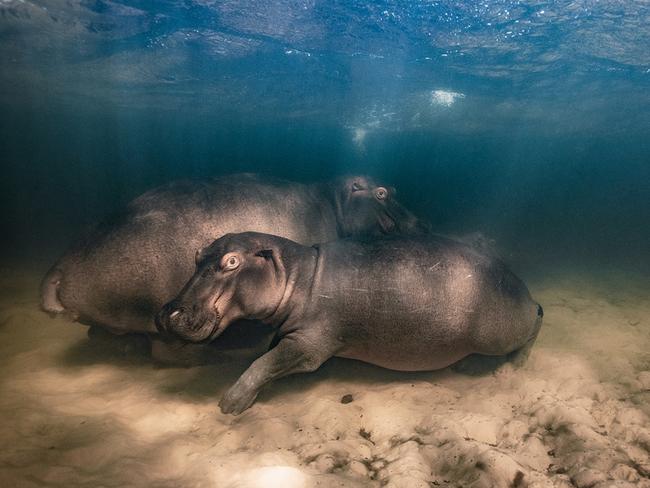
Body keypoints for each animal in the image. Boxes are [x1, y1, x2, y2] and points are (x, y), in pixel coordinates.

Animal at [41, 173, 426, 352]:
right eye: (383, 192)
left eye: (393, 189)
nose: (424, 225)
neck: (334, 203)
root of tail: (59, 268)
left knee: (102, 333)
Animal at [157, 231, 540, 414]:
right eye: (197, 255)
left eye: (232, 261)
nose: (167, 313)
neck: (298, 275)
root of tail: (523, 288)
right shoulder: (288, 332)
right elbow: (266, 354)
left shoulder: (309, 345)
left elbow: (264, 363)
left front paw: (230, 404)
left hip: (500, 334)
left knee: (535, 324)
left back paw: (506, 366)